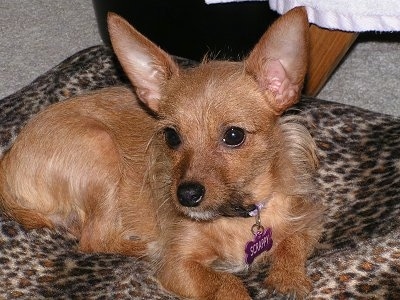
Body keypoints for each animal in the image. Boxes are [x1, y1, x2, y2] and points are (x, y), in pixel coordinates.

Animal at [0, 7, 322, 300]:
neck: (240, 216)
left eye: (234, 135)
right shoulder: (178, 266)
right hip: (99, 147)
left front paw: (288, 278)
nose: (186, 195)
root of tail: (8, 158)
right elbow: (225, 283)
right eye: (171, 136)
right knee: (93, 239)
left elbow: (293, 242)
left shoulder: (306, 218)